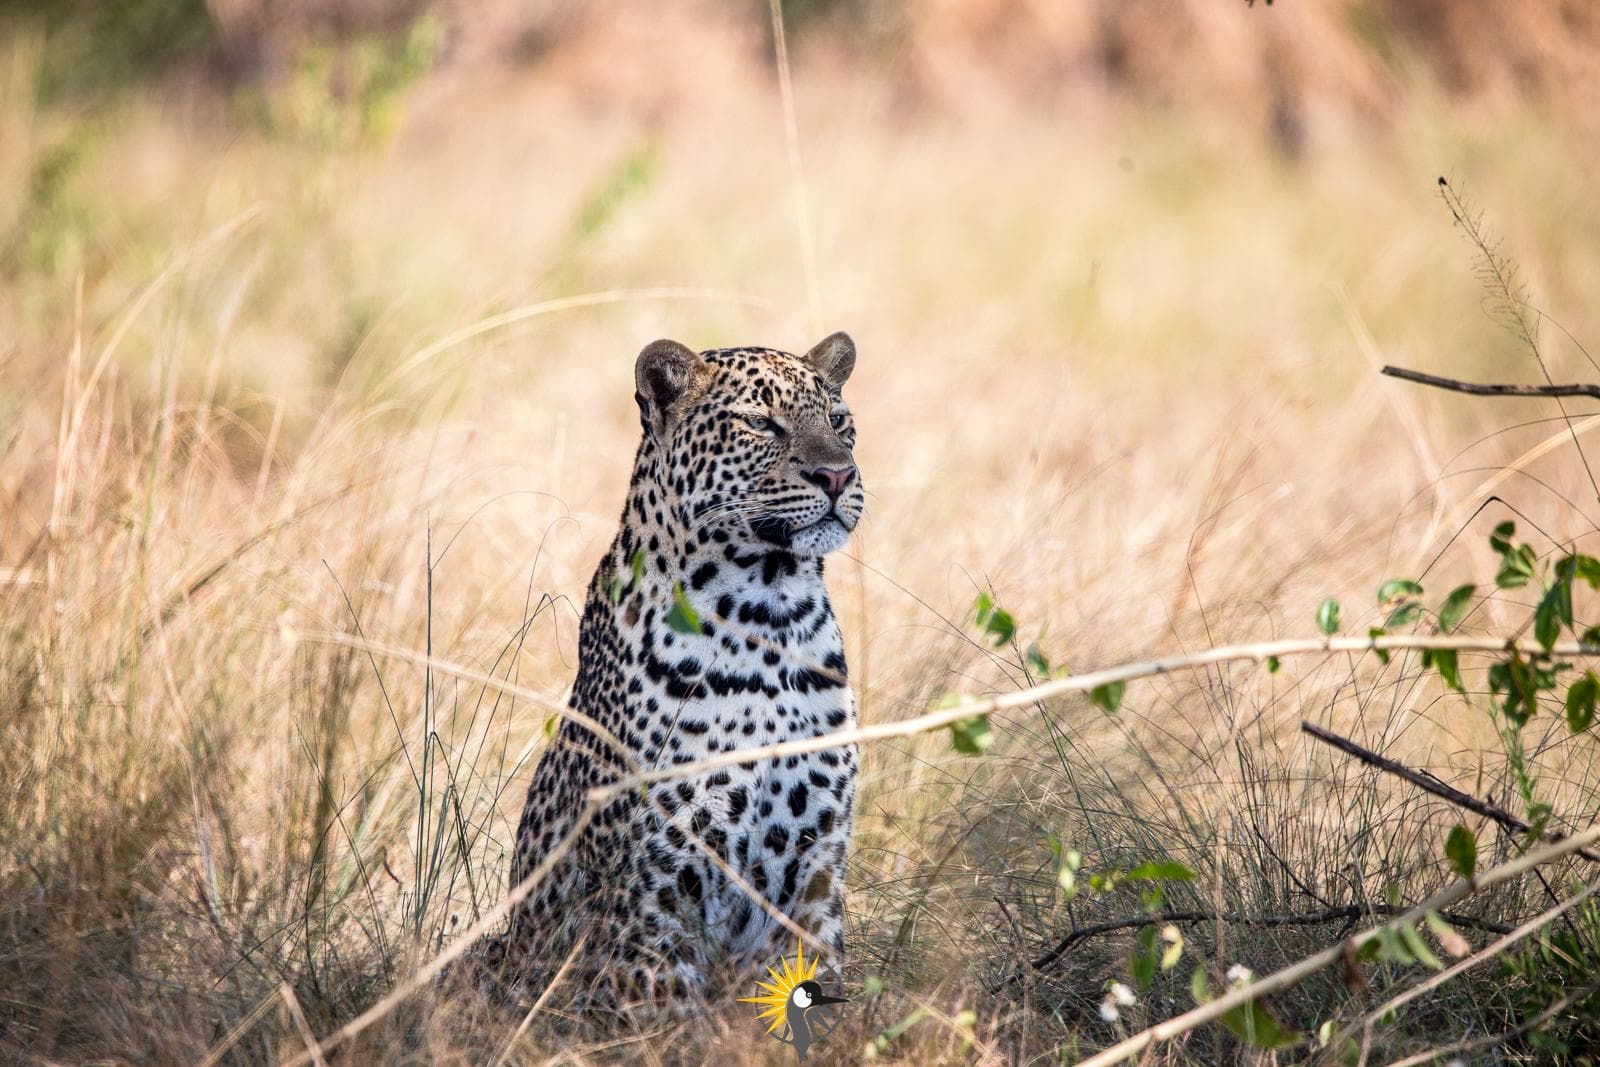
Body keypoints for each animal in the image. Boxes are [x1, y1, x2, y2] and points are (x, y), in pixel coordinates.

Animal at [484, 331, 865, 1006]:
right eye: (760, 424)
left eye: (840, 422)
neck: (770, 613)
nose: (838, 474)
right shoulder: (654, 895)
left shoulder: (818, 870)